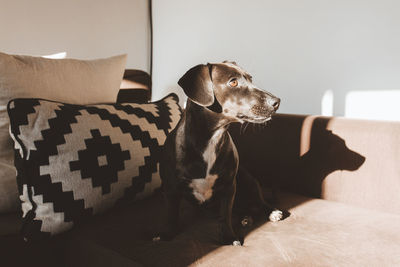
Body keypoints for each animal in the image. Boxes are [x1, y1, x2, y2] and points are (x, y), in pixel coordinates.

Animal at [155, 61, 282, 247]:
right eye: (233, 82)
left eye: (251, 79)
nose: (277, 101)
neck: (211, 138)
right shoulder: (170, 188)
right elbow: (171, 214)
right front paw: (166, 234)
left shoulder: (229, 187)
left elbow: (225, 215)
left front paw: (229, 237)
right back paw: (246, 218)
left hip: (247, 179)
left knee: (259, 202)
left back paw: (270, 212)